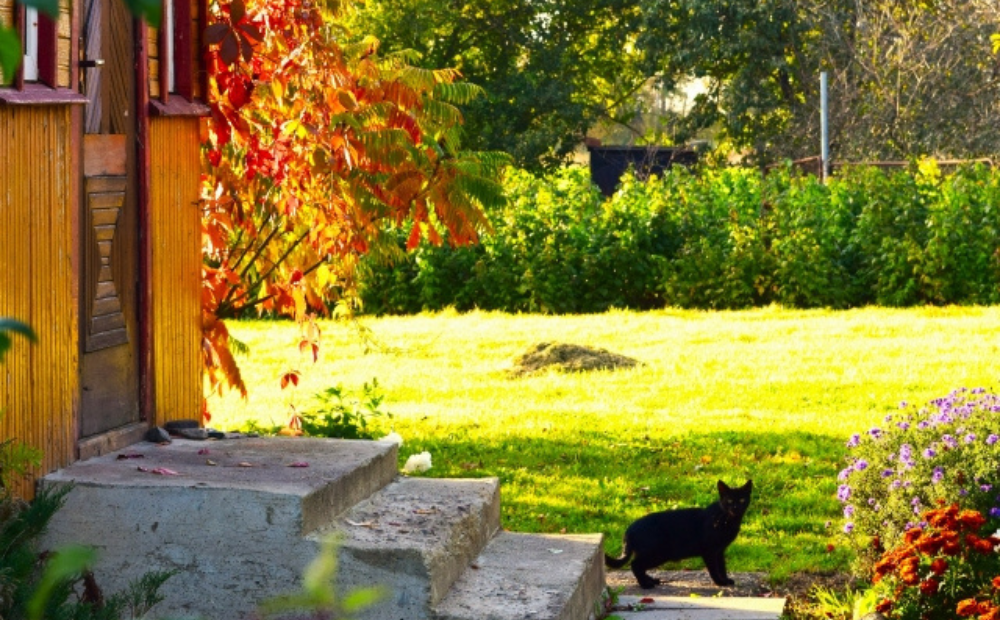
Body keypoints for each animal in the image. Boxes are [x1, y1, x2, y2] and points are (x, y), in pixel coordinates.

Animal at [604, 482, 752, 588]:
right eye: (729, 501)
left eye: (742, 500)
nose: (735, 508)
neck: (727, 518)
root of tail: (629, 528)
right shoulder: (709, 551)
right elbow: (714, 569)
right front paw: (719, 582)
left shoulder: (720, 550)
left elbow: (722, 566)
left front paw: (725, 580)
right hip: (657, 553)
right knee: (635, 565)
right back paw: (645, 585)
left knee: (640, 567)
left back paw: (651, 580)